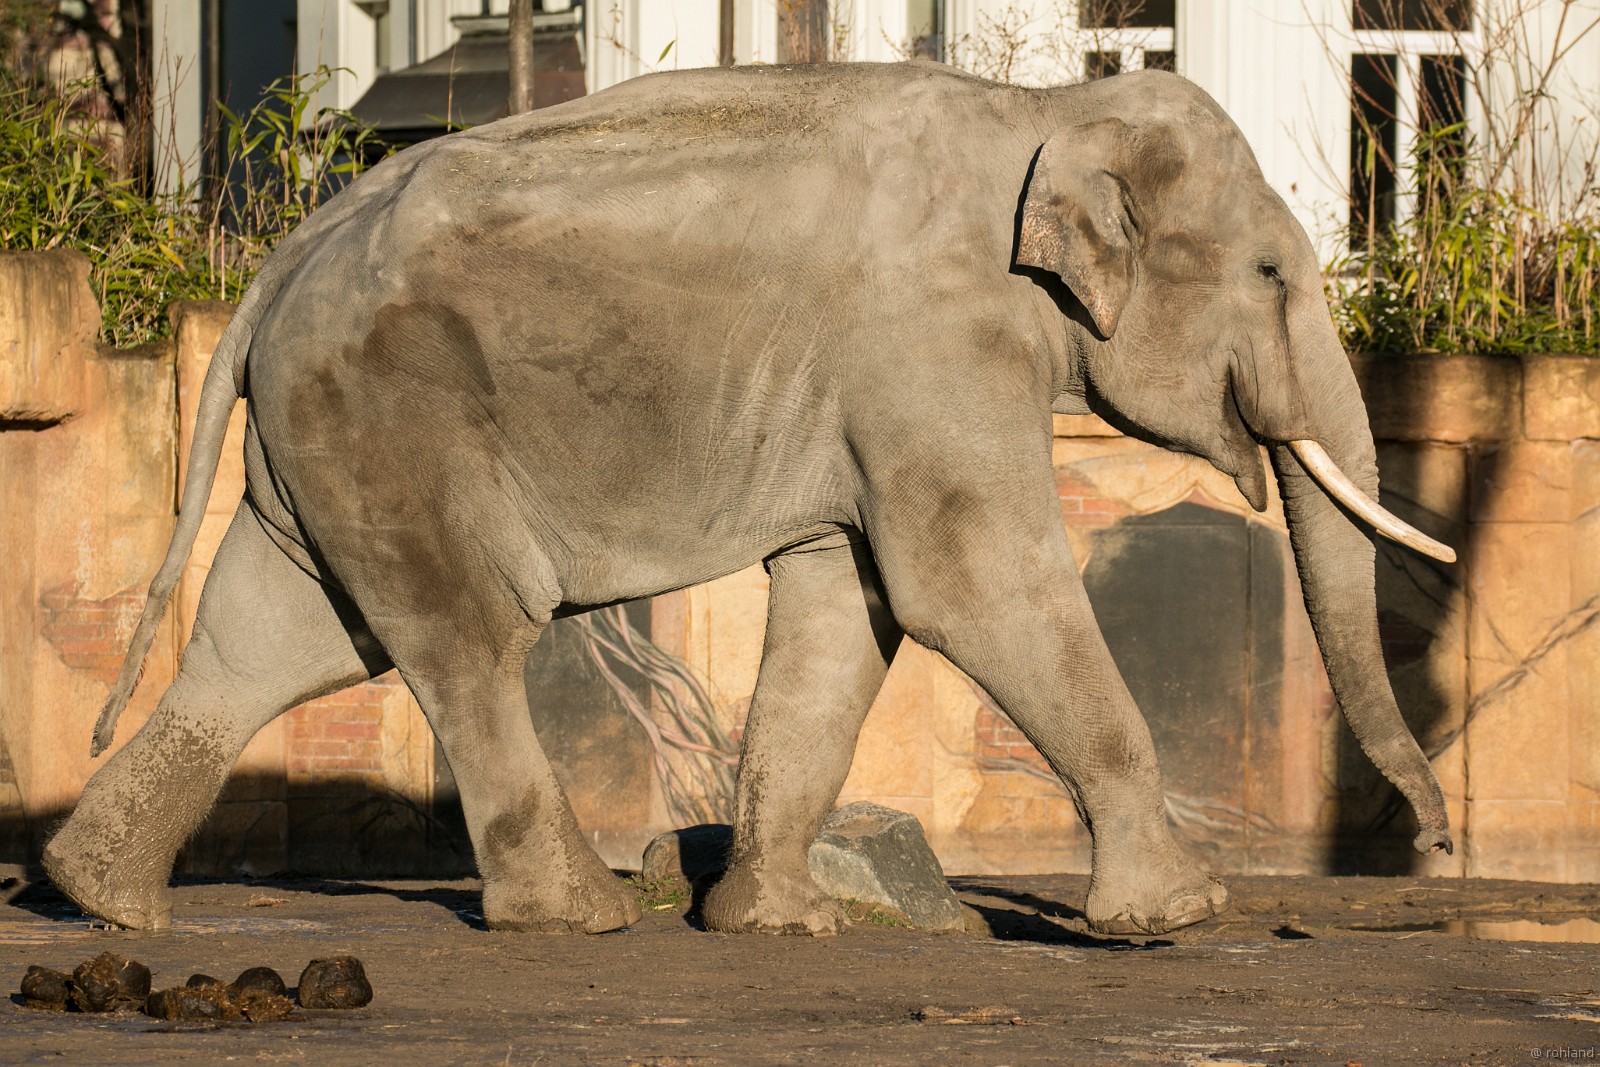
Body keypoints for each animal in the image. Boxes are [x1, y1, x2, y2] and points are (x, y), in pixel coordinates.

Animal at [43, 60, 1455, 937]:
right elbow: (974, 589)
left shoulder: (880, 394)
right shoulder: (933, 346)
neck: (1046, 110)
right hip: (398, 420)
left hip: (323, 438)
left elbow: (849, 606)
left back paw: (99, 895)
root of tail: (284, 258)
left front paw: (782, 923)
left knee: (276, 638)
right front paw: (1179, 917)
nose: (1441, 844)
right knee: (467, 639)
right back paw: (581, 916)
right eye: (1269, 272)